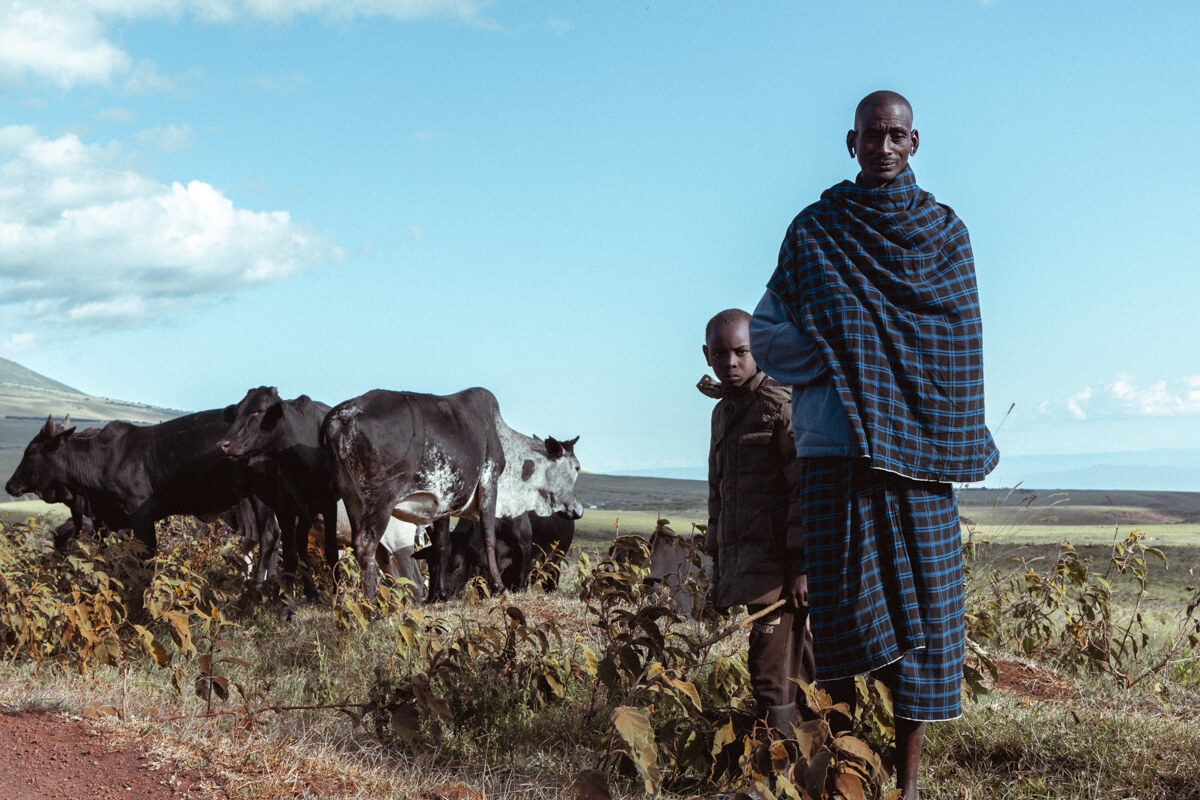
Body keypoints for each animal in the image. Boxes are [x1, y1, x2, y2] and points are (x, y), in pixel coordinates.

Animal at [319, 388, 580, 599]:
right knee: (366, 544)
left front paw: (438, 593)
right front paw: (499, 587)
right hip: (381, 499)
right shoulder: (489, 481)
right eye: (577, 467)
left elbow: (442, 544)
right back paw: (370, 602)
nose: (578, 509)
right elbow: (489, 537)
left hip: (351, 495)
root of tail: (345, 413)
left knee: (358, 544)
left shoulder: (444, 501)